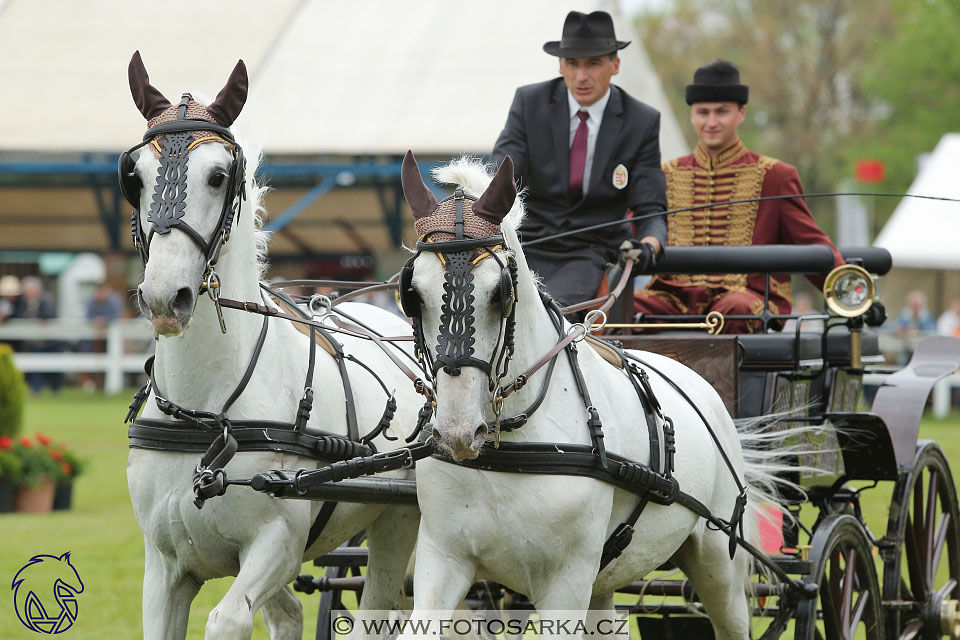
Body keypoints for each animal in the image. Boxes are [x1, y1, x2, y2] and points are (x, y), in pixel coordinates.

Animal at [121, 53, 420, 640]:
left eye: (219, 175)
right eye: (134, 176)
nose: (166, 296)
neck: (205, 410)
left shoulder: (277, 544)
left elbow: (226, 620)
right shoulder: (162, 570)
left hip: (399, 520)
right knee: (289, 614)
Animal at [402, 155, 792, 640]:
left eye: (499, 293)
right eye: (413, 294)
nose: (457, 432)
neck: (511, 448)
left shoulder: (566, 582)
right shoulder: (443, 560)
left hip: (718, 559)